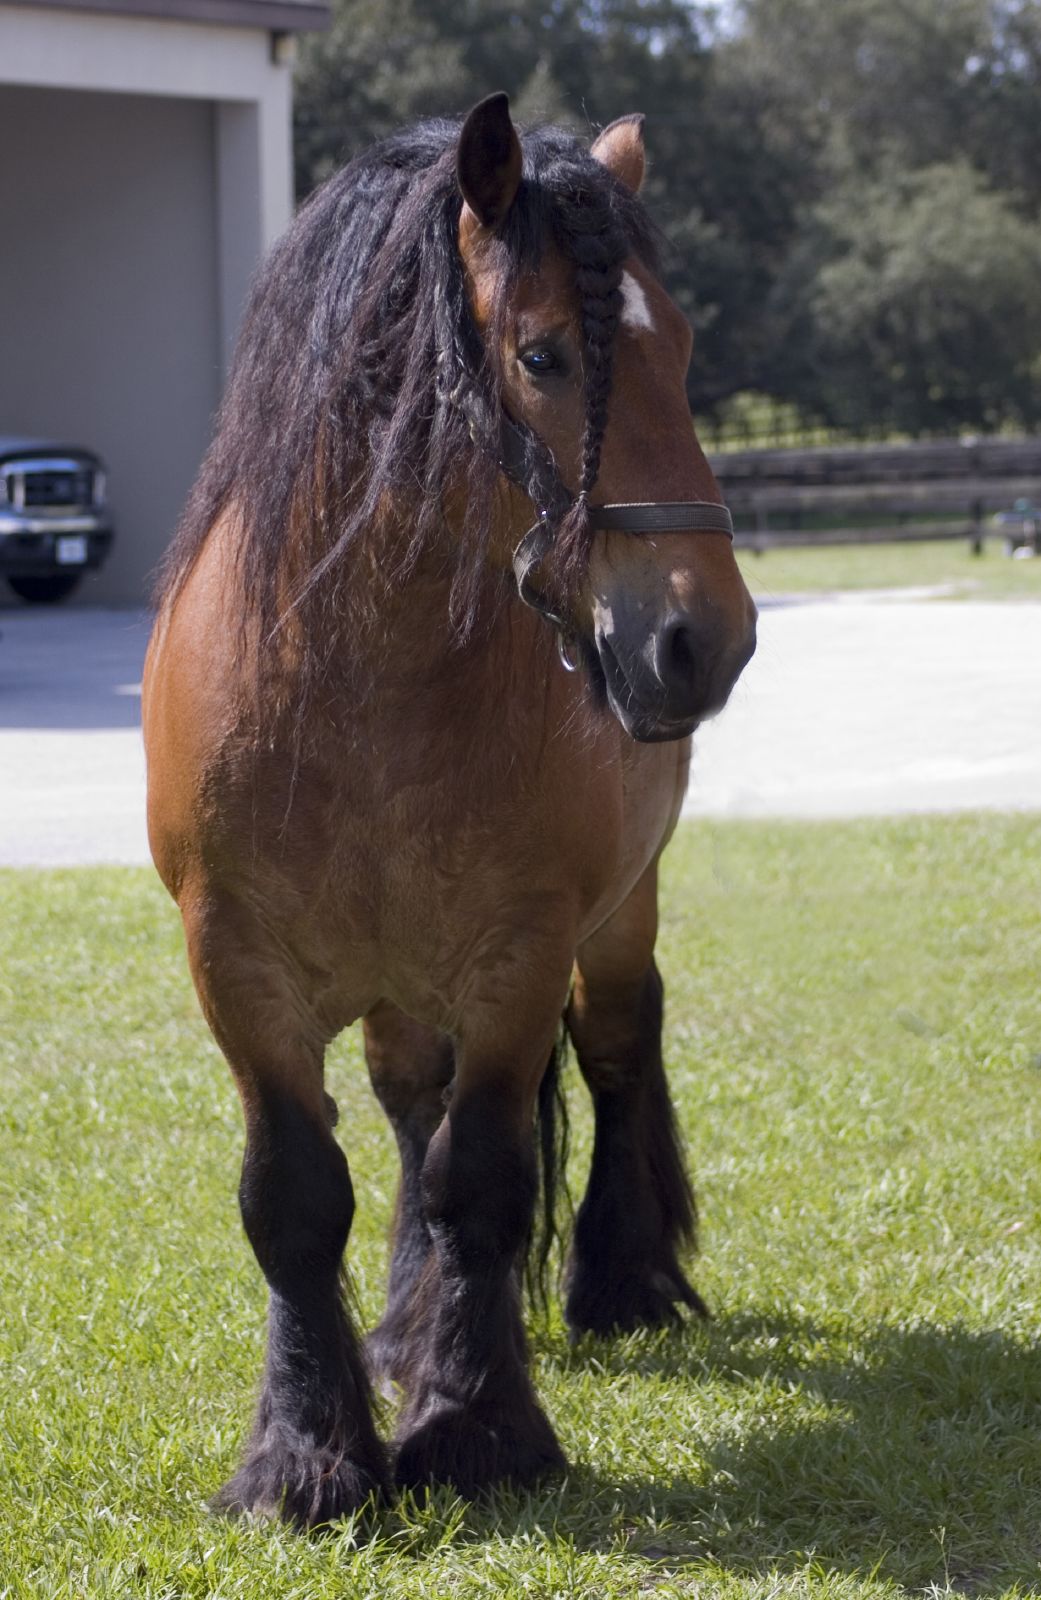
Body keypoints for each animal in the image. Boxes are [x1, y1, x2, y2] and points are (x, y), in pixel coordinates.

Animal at [140, 90, 757, 1523]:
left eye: (685, 346)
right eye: (542, 353)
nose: (708, 639)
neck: (359, 677)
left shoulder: (521, 955)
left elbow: (482, 1176)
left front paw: (476, 1431)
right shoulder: (234, 967)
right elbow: (298, 1194)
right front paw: (307, 1456)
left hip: (615, 916)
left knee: (618, 1046)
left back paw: (618, 1285)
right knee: (409, 1111)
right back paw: (406, 1329)